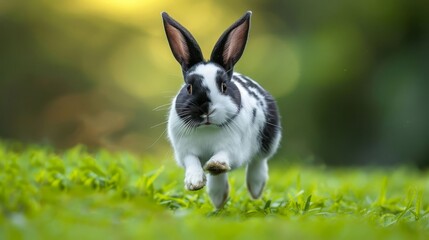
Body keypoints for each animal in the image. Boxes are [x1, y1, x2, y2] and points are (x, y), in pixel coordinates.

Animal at [160, 11, 280, 208]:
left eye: (224, 86)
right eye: (189, 88)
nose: (206, 109)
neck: (207, 128)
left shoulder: (233, 148)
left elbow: (223, 156)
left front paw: (216, 164)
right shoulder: (185, 151)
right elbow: (193, 162)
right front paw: (194, 182)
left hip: (268, 141)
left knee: (258, 162)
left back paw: (255, 189)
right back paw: (218, 199)